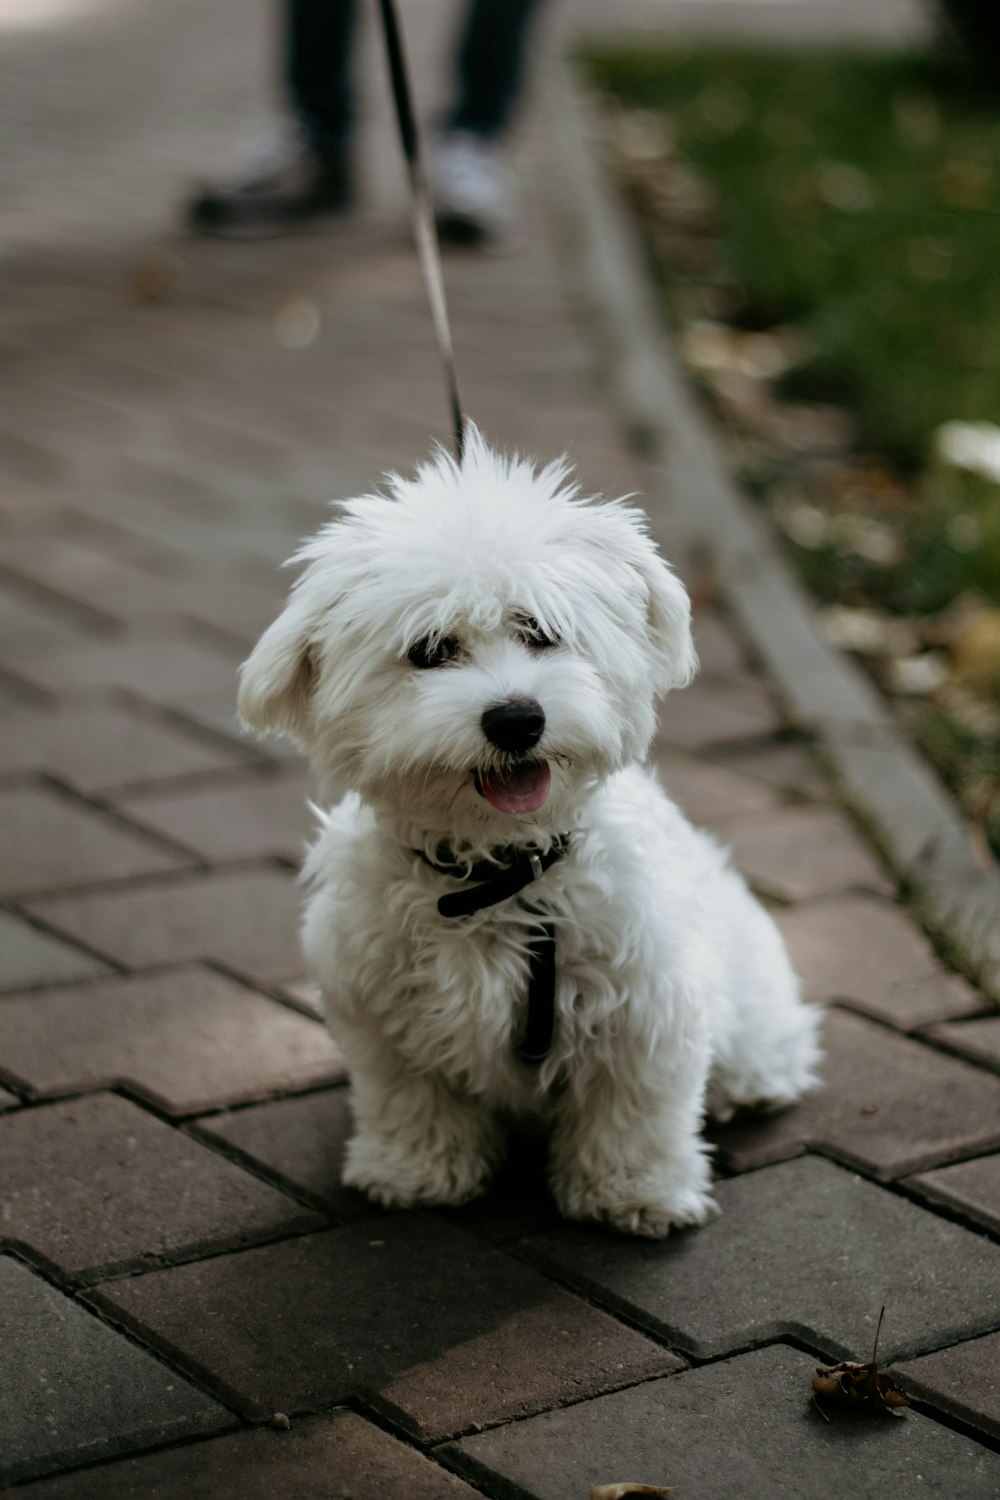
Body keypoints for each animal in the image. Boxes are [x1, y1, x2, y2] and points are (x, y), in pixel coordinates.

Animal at [239, 429, 821, 1236]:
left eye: (542, 632)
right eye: (429, 650)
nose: (517, 718)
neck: (498, 874)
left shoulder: (644, 1007)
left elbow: (633, 1111)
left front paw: (634, 1192)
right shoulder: (383, 1011)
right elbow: (411, 1097)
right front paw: (415, 1170)